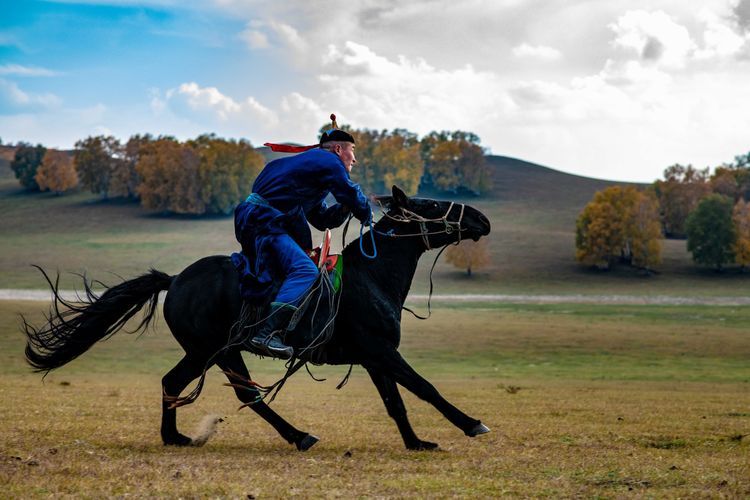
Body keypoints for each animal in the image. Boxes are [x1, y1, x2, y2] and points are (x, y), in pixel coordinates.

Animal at [23, 186, 494, 452]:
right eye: (430, 204)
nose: (481, 218)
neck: (371, 276)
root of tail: (176, 280)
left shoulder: (375, 357)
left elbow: (396, 402)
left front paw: (417, 443)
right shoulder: (381, 351)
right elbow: (425, 388)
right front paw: (472, 424)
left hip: (212, 352)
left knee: (188, 385)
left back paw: (179, 437)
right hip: (212, 350)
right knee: (235, 392)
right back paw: (298, 436)